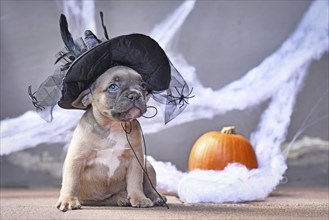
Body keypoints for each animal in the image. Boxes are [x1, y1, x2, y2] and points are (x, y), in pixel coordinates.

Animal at [55, 65, 167, 211]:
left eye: (143, 86)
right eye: (113, 87)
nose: (135, 94)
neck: (115, 125)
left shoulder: (136, 159)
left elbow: (135, 181)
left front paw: (139, 198)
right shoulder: (76, 159)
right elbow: (71, 181)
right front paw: (68, 200)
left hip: (147, 164)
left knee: (149, 186)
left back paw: (155, 197)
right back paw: (122, 198)